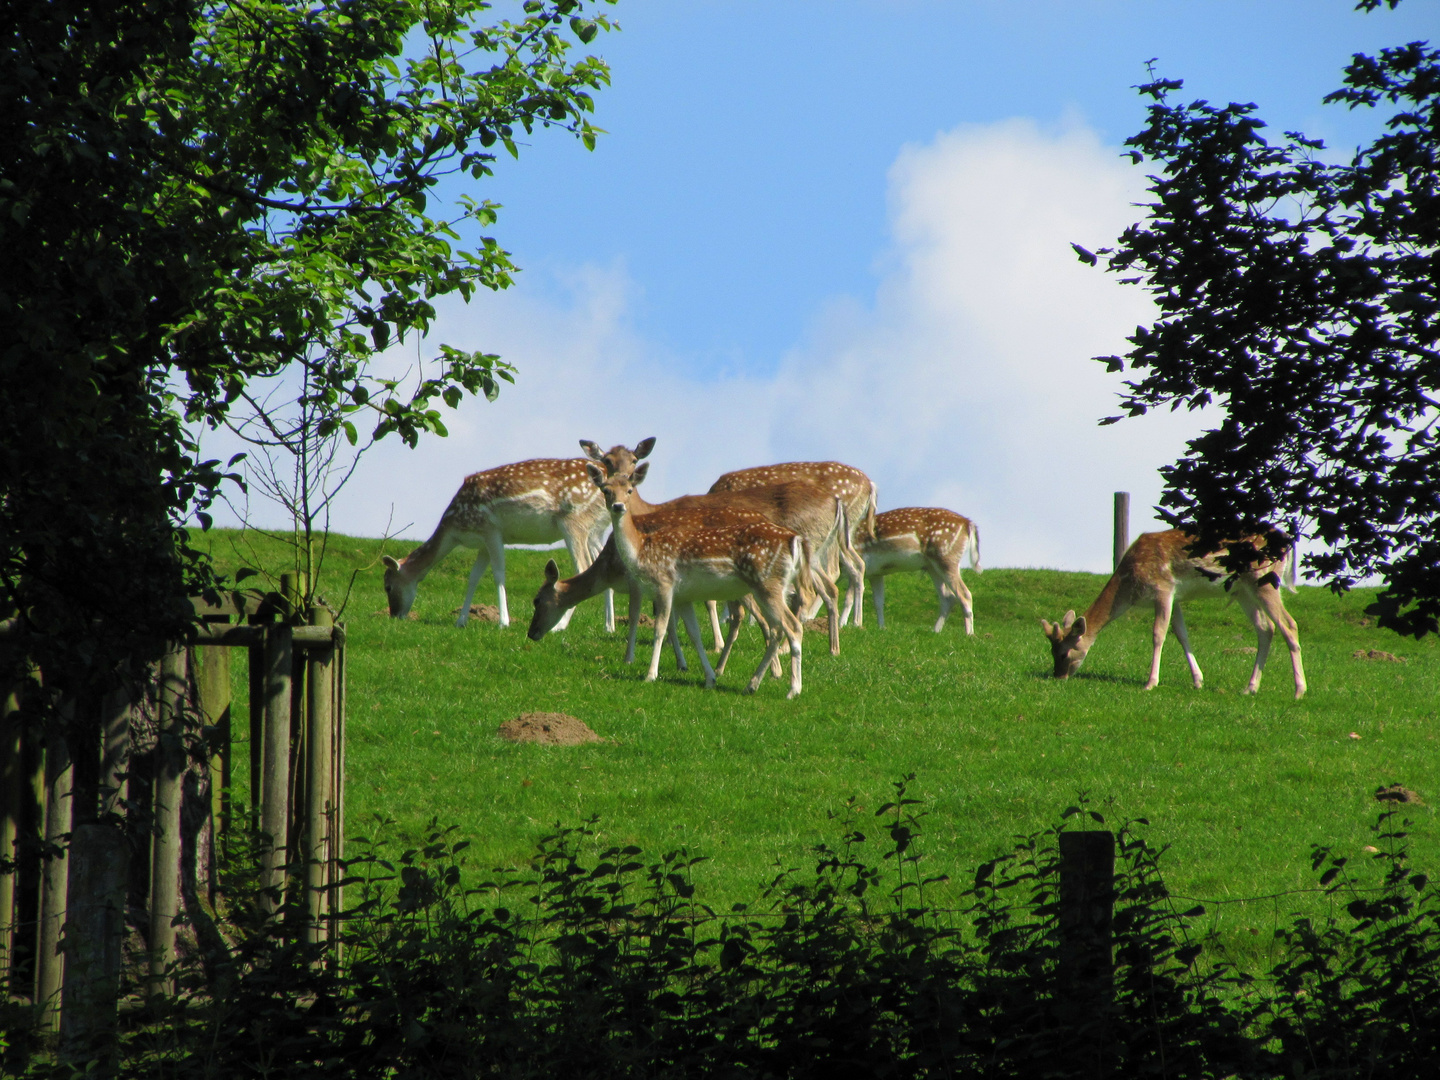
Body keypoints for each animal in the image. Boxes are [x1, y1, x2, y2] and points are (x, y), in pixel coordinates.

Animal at [383, 440, 653, 633]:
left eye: (387, 585)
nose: (395, 615)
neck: (455, 527)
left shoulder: (491, 529)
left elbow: (498, 574)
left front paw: (503, 622)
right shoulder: (483, 542)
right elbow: (473, 577)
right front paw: (461, 621)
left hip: (574, 520)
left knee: (583, 566)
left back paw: (560, 626)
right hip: (595, 527)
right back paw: (608, 626)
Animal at [584, 466, 812, 702]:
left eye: (629, 490)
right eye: (606, 490)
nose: (618, 506)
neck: (641, 550)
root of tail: (795, 540)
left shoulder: (664, 583)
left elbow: (660, 628)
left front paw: (650, 675)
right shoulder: (683, 596)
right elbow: (695, 635)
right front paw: (710, 679)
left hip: (767, 583)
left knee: (793, 626)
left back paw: (792, 690)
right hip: (772, 587)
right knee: (777, 629)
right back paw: (751, 685)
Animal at [846, 506, 984, 633]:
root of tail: (968, 523)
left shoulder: (859, 566)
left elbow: (849, 597)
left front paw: (849, 625)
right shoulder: (876, 573)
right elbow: (878, 601)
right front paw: (881, 628)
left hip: (947, 557)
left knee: (965, 594)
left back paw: (969, 634)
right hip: (933, 567)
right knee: (948, 597)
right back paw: (935, 631)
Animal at [1042, 532, 1313, 702]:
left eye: (1063, 653)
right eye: (1051, 651)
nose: (1058, 676)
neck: (1130, 587)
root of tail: (1288, 542)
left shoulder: (1163, 588)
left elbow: (1158, 634)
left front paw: (1150, 683)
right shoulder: (1176, 598)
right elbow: (1182, 635)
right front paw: (1198, 681)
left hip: (1263, 579)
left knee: (1289, 624)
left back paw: (1299, 690)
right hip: (1243, 591)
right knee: (1266, 629)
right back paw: (1250, 688)